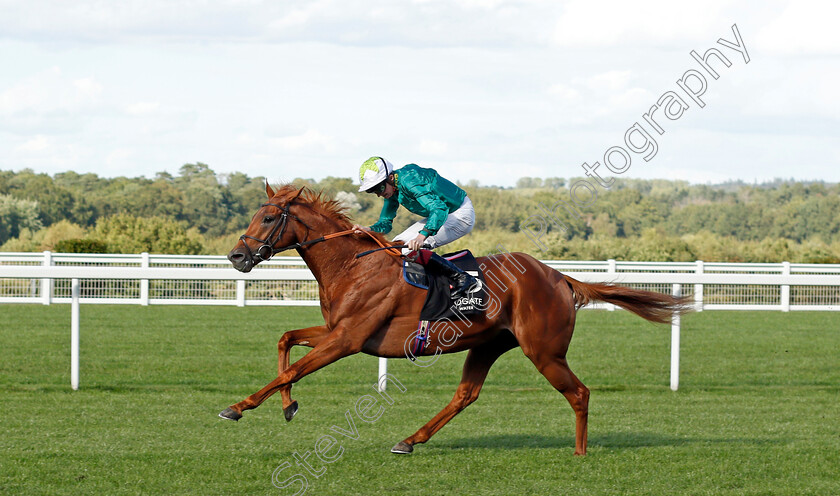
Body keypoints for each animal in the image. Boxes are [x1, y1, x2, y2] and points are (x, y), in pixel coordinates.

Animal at [218, 182, 688, 454]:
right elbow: (285, 340)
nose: (237, 256)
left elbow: (290, 368)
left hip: (544, 351)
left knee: (579, 393)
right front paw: (289, 406)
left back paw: (580, 453)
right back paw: (410, 440)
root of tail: (558, 276)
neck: (351, 264)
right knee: (466, 395)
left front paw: (238, 407)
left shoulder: (348, 339)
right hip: (489, 344)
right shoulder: (339, 332)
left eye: (268, 216)